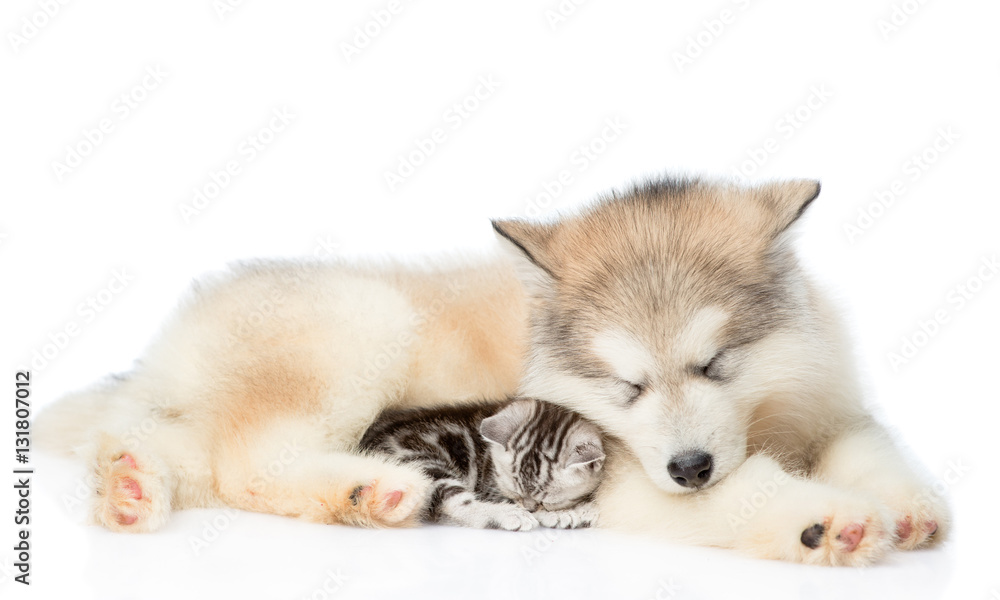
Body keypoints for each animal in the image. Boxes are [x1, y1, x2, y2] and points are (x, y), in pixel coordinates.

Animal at [360, 398, 600, 528]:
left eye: (548, 500)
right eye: (515, 492)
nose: (529, 507)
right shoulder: (492, 488)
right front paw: (562, 514)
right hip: (421, 463)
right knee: (454, 503)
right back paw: (506, 515)